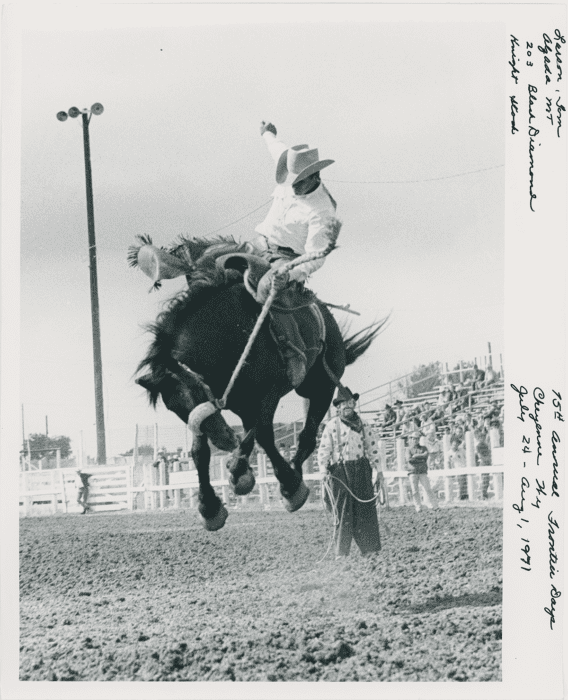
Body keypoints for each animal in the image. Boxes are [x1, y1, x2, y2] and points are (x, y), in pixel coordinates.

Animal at [130, 234, 386, 532]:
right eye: (172, 407)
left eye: (197, 389)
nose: (224, 439)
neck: (231, 332)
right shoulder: (216, 412)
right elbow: (199, 452)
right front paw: (210, 507)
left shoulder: (267, 394)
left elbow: (262, 434)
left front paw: (283, 484)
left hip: (321, 384)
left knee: (307, 435)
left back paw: (288, 477)